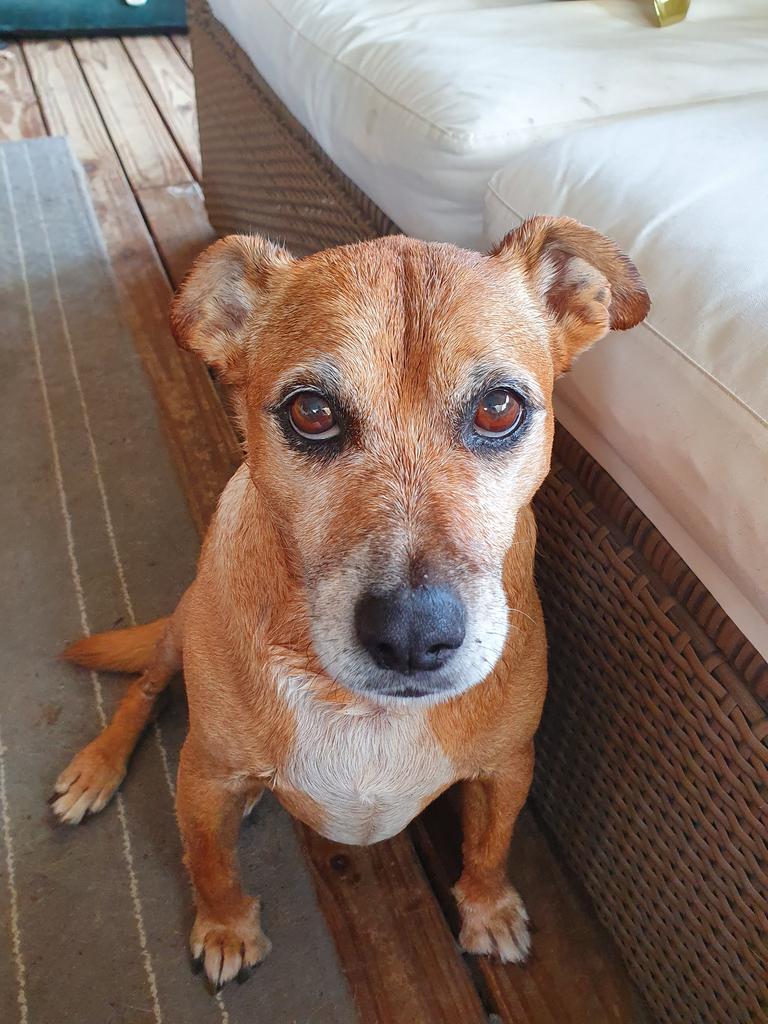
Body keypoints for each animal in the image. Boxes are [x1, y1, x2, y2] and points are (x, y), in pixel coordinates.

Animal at [52, 218, 651, 991]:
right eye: (311, 412)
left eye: (499, 408)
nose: (412, 635)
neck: (362, 708)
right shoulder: (205, 776)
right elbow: (210, 863)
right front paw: (225, 927)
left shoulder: (507, 767)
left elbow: (490, 848)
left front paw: (488, 910)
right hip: (178, 635)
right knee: (145, 691)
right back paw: (97, 767)